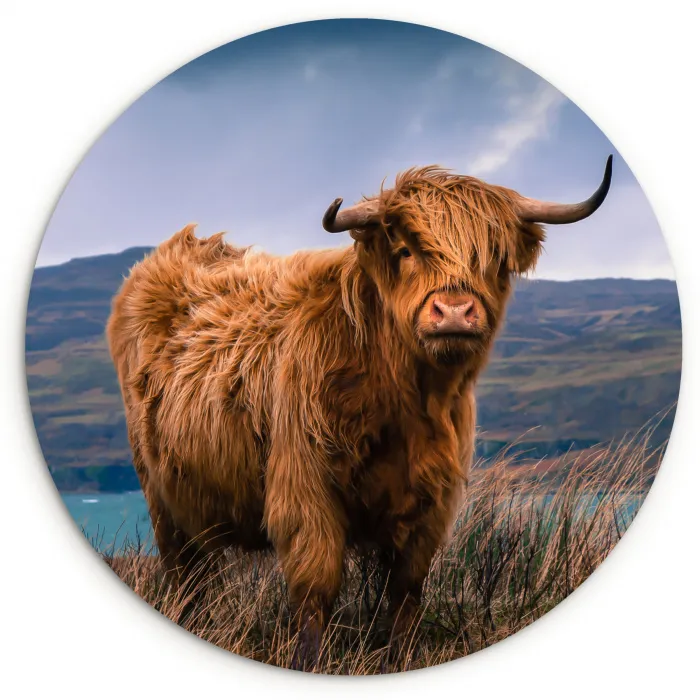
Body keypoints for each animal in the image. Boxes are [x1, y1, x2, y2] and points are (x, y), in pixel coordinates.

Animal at [107, 157, 612, 668]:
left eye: (493, 258)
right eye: (406, 251)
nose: (453, 312)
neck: (405, 401)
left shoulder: (433, 501)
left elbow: (407, 589)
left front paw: (399, 658)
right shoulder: (305, 489)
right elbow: (316, 586)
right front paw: (308, 661)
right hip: (161, 495)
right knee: (183, 572)